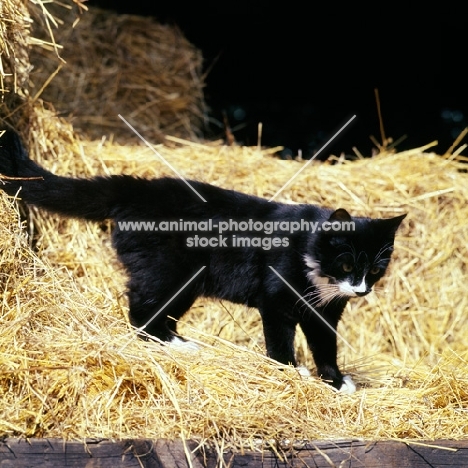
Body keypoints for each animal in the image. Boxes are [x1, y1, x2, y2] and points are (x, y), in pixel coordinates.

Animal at [0, 129, 406, 392]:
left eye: (375, 269)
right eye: (347, 265)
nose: (361, 289)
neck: (310, 252)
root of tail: (136, 188)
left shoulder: (325, 311)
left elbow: (326, 346)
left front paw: (335, 381)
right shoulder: (276, 302)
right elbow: (280, 342)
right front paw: (290, 372)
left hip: (185, 284)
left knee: (156, 316)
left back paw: (180, 342)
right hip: (168, 274)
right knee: (141, 314)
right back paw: (180, 346)